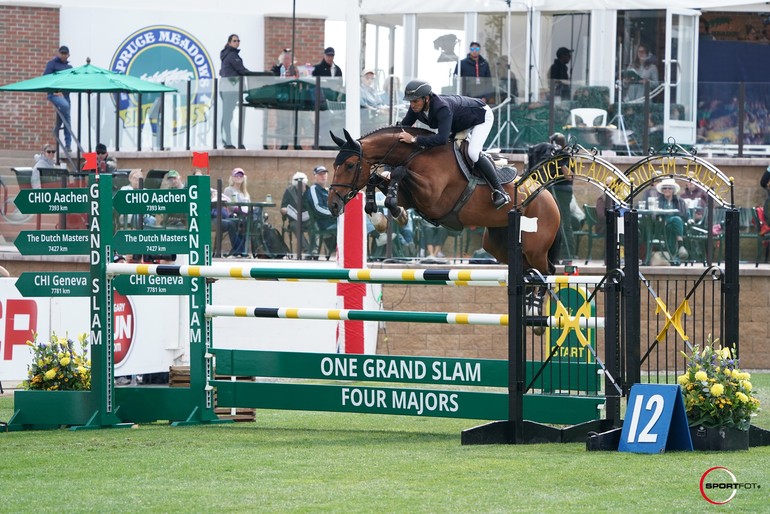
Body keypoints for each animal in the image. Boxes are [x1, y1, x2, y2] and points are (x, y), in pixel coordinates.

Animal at [326, 126, 560, 274]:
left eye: (349, 165)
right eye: (334, 165)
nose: (333, 205)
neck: (416, 154)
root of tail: (549, 198)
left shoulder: (432, 198)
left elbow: (399, 172)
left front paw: (394, 213)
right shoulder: (410, 198)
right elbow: (377, 179)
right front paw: (384, 218)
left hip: (535, 248)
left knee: (547, 271)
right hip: (498, 245)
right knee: (526, 269)